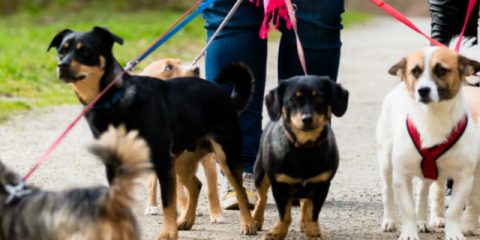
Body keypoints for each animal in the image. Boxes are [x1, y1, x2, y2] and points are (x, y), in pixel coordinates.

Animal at [47, 26, 258, 238]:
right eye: (61, 51)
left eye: (85, 51)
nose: (61, 65)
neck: (115, 100)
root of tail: (227, 98)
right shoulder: (114, 165)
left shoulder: (162, 161)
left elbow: (168, 203)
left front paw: (167, 234)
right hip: (183, 160)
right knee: (195, 185)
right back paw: (187, 220)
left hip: (225, 155)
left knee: (240, 190)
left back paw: (248, 224)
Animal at [251, 75, 348, 240]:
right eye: (293, 100)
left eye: (319, 97)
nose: (307, 118)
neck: (304, 148)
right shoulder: (280, 186)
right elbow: (284, 214)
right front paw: (277, 232)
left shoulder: (321, 185)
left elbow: (312, 213)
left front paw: (314, 232)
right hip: (260, 173)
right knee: (261, 197)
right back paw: (256, 220)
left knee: (304, 204)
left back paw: (304, 224)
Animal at [376, 46, 480, 239]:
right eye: (415, 71)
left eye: (441, 70)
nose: (422, 90)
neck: (433, 117)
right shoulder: (401, 176)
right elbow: (408, 209)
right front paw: (409, 234)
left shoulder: (465, 177)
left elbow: (454, 210)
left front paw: (454, 233)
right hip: (386, 161)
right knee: (388, 191)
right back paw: (390, 220)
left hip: (428, 172)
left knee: (422, 194)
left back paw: (422, 222)